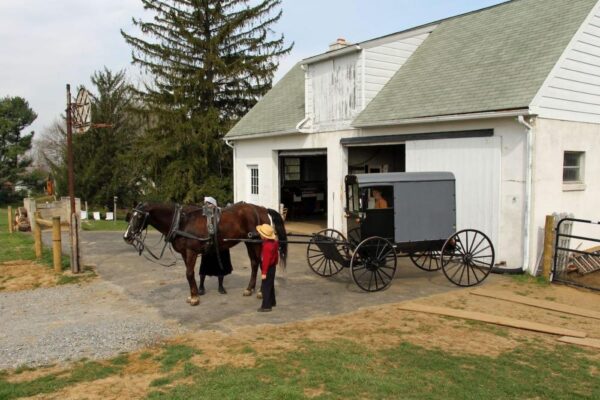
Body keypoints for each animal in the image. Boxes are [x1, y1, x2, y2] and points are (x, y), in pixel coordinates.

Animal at [123, 203, 288, 306]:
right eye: (130, 216)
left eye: (139, 217)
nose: (127, 236)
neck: (182, 222)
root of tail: (261, 208)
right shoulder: (185, 254)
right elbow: (190, 274)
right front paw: (193, 294)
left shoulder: (191, 252)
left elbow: (189, 273)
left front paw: (194, 298)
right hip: (249, 242)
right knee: (254, 263)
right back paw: (249, 289)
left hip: (257, 243)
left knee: (261, 264)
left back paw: (260, 292)